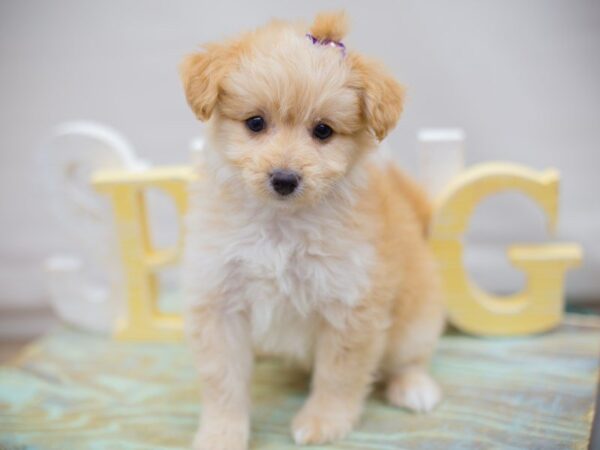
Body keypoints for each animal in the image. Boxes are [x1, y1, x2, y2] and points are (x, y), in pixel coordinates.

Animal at [180, 10, 442, 450]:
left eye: (323, 131)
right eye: (255, 123)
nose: (284, 179)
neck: (280, 225)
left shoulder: (350, 305)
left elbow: (339, 375)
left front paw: (323, 422)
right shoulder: (220, 302)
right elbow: (223, 381)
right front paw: (221, 434)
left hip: (416, 320)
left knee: (409, 357)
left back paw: (413, 388)